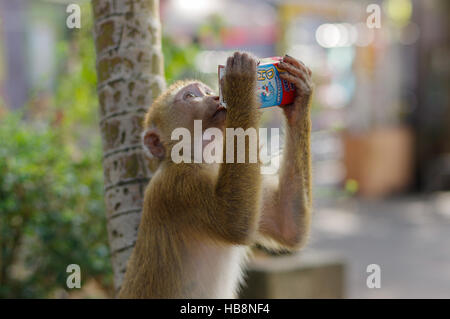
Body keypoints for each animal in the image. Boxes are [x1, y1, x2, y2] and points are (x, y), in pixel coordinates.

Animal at [118, 52, 312, 300]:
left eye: (207, 91)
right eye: (191, 96)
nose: (214, 97)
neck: (199, 156)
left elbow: (289, 226)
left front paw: (300, 96)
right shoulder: (180, 182)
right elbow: (234, 222)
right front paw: (240, 80)